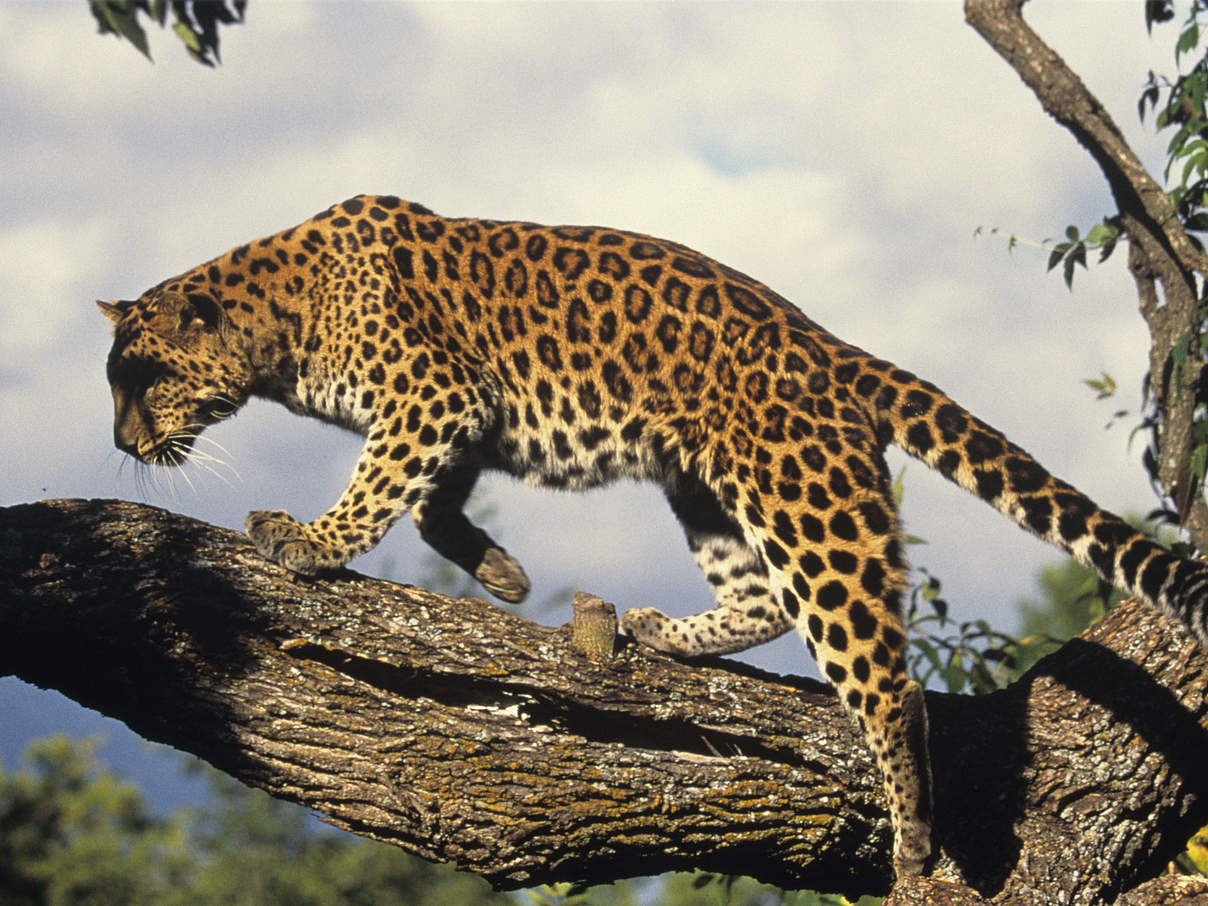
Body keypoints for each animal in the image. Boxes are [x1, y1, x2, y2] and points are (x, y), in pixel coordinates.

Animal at [99, 193, 1208, 879]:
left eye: (142, 377)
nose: (119, 442)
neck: (280, 328)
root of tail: (833, 347)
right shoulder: (457, 415)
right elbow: (427, 502)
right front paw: (504, 575)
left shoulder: (430, 393)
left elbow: (382, 487)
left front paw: (309, 538)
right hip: (709, 488)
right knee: (759, 599)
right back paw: (647, 632)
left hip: (806, 502)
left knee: (883, 679)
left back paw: (910, 837)